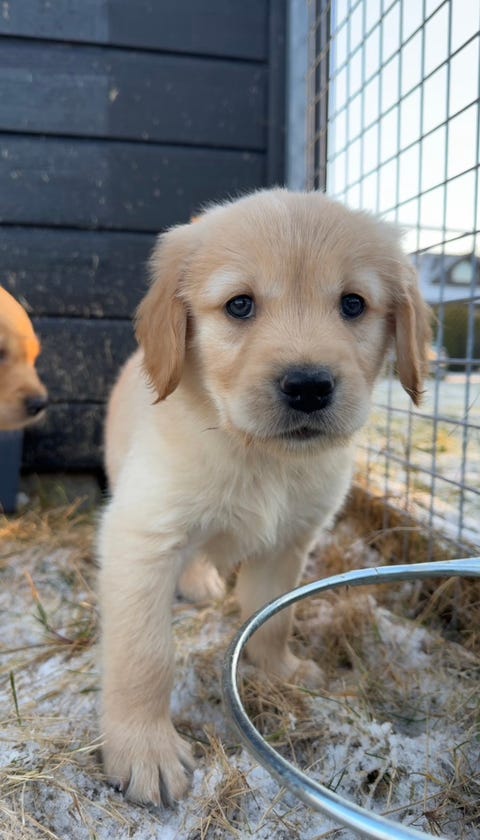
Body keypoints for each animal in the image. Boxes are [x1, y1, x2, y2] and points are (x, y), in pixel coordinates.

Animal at [98, 189, 431, 806]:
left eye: (353, 303)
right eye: (239, 306)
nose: (308, 386)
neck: (259, 456)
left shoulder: (288, 544)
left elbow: (272, 616)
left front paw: (279, 671)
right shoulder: (141, 535)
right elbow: (144, 655)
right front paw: (145, 749)